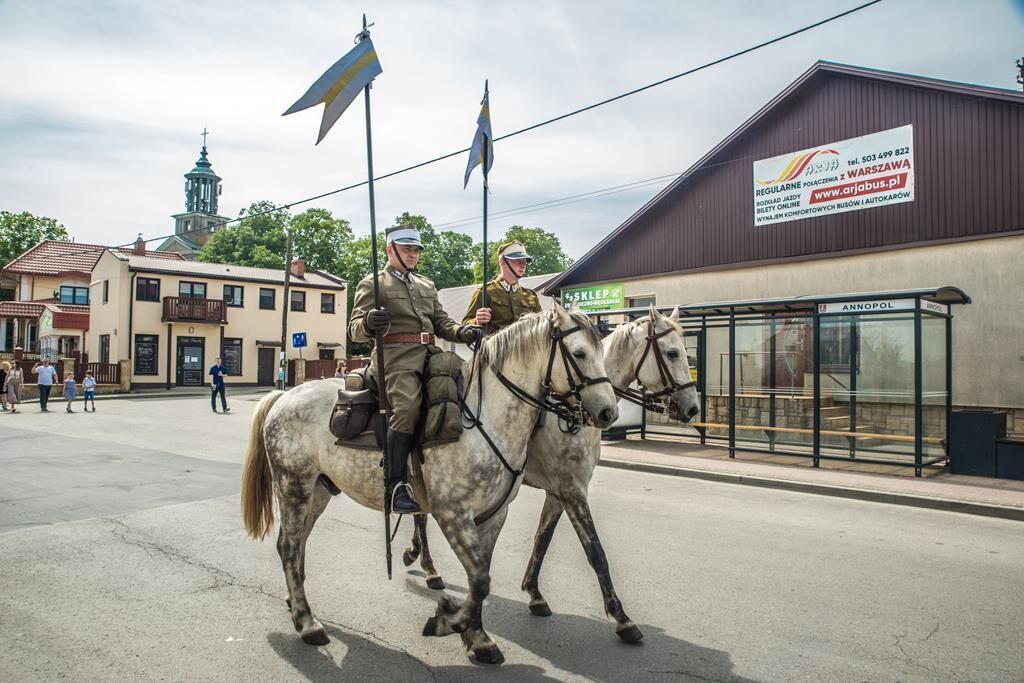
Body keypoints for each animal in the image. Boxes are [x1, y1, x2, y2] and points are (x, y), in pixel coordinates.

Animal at [243, 303, 618, 663]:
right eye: (579, 353)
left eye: (603, 352)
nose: (608, 413)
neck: (484, 419)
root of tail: (284, 396)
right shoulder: (455, 515)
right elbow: (480, 578)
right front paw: (449, 622)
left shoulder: (495, 516)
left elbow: (481, 577)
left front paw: (475, 637)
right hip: (294, 485)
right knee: (290, 545)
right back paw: (308, 624)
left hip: (318, 490)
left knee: (295, 545)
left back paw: (296, 605)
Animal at [401, 307, 704, 643]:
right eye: (673, 352)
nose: (693, 408)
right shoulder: (572, 490)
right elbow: (595, 551)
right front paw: (622, 618)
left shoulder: (558, 493)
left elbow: (542, 539)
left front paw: (534, 594)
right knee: (421, 516)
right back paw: (428, 567)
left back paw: (415, 554)